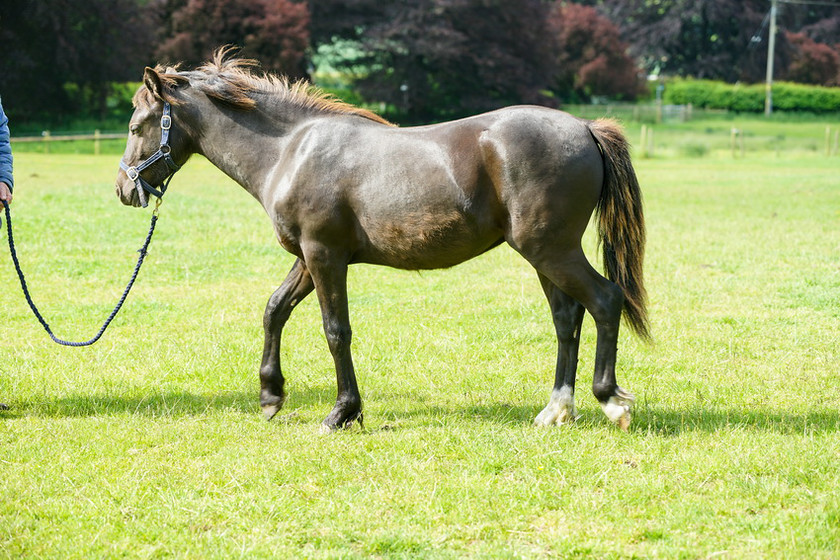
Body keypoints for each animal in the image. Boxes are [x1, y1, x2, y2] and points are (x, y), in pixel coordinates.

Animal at [115, 49, 648, 434]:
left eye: (137, 125)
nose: (123, 189)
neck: (289, 150)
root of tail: (585, 128)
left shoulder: (324, 256)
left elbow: (336, 331)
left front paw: (342, 412)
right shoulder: (309, 258)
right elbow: (274, 310)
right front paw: (271, 396)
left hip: (551, 250)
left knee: (605, 300)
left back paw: (610, 401)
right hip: (545, 255)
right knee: (567, 318)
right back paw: (557, 410)